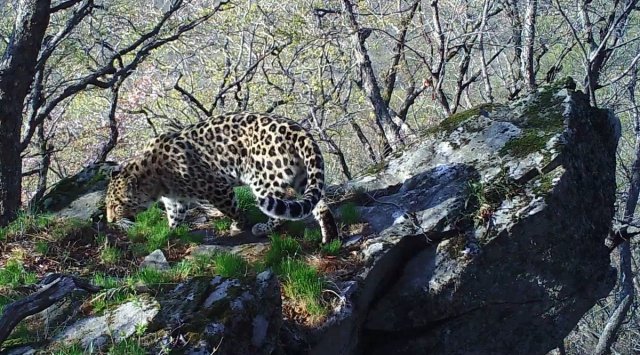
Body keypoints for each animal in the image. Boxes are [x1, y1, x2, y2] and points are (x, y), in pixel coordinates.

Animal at [106, 112, 340, 245]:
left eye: (116, 205)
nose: (110, 221)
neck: (154, 180)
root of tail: (301, 131)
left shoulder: (217, 188)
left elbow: (231, 209)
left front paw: (239, 225)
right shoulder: (175, 199)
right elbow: (174, 216)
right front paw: (169, 233)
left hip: (264, 180)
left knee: (281, 212)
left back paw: (262, 229)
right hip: (304, 177)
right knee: (319, 205)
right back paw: (330, 238)